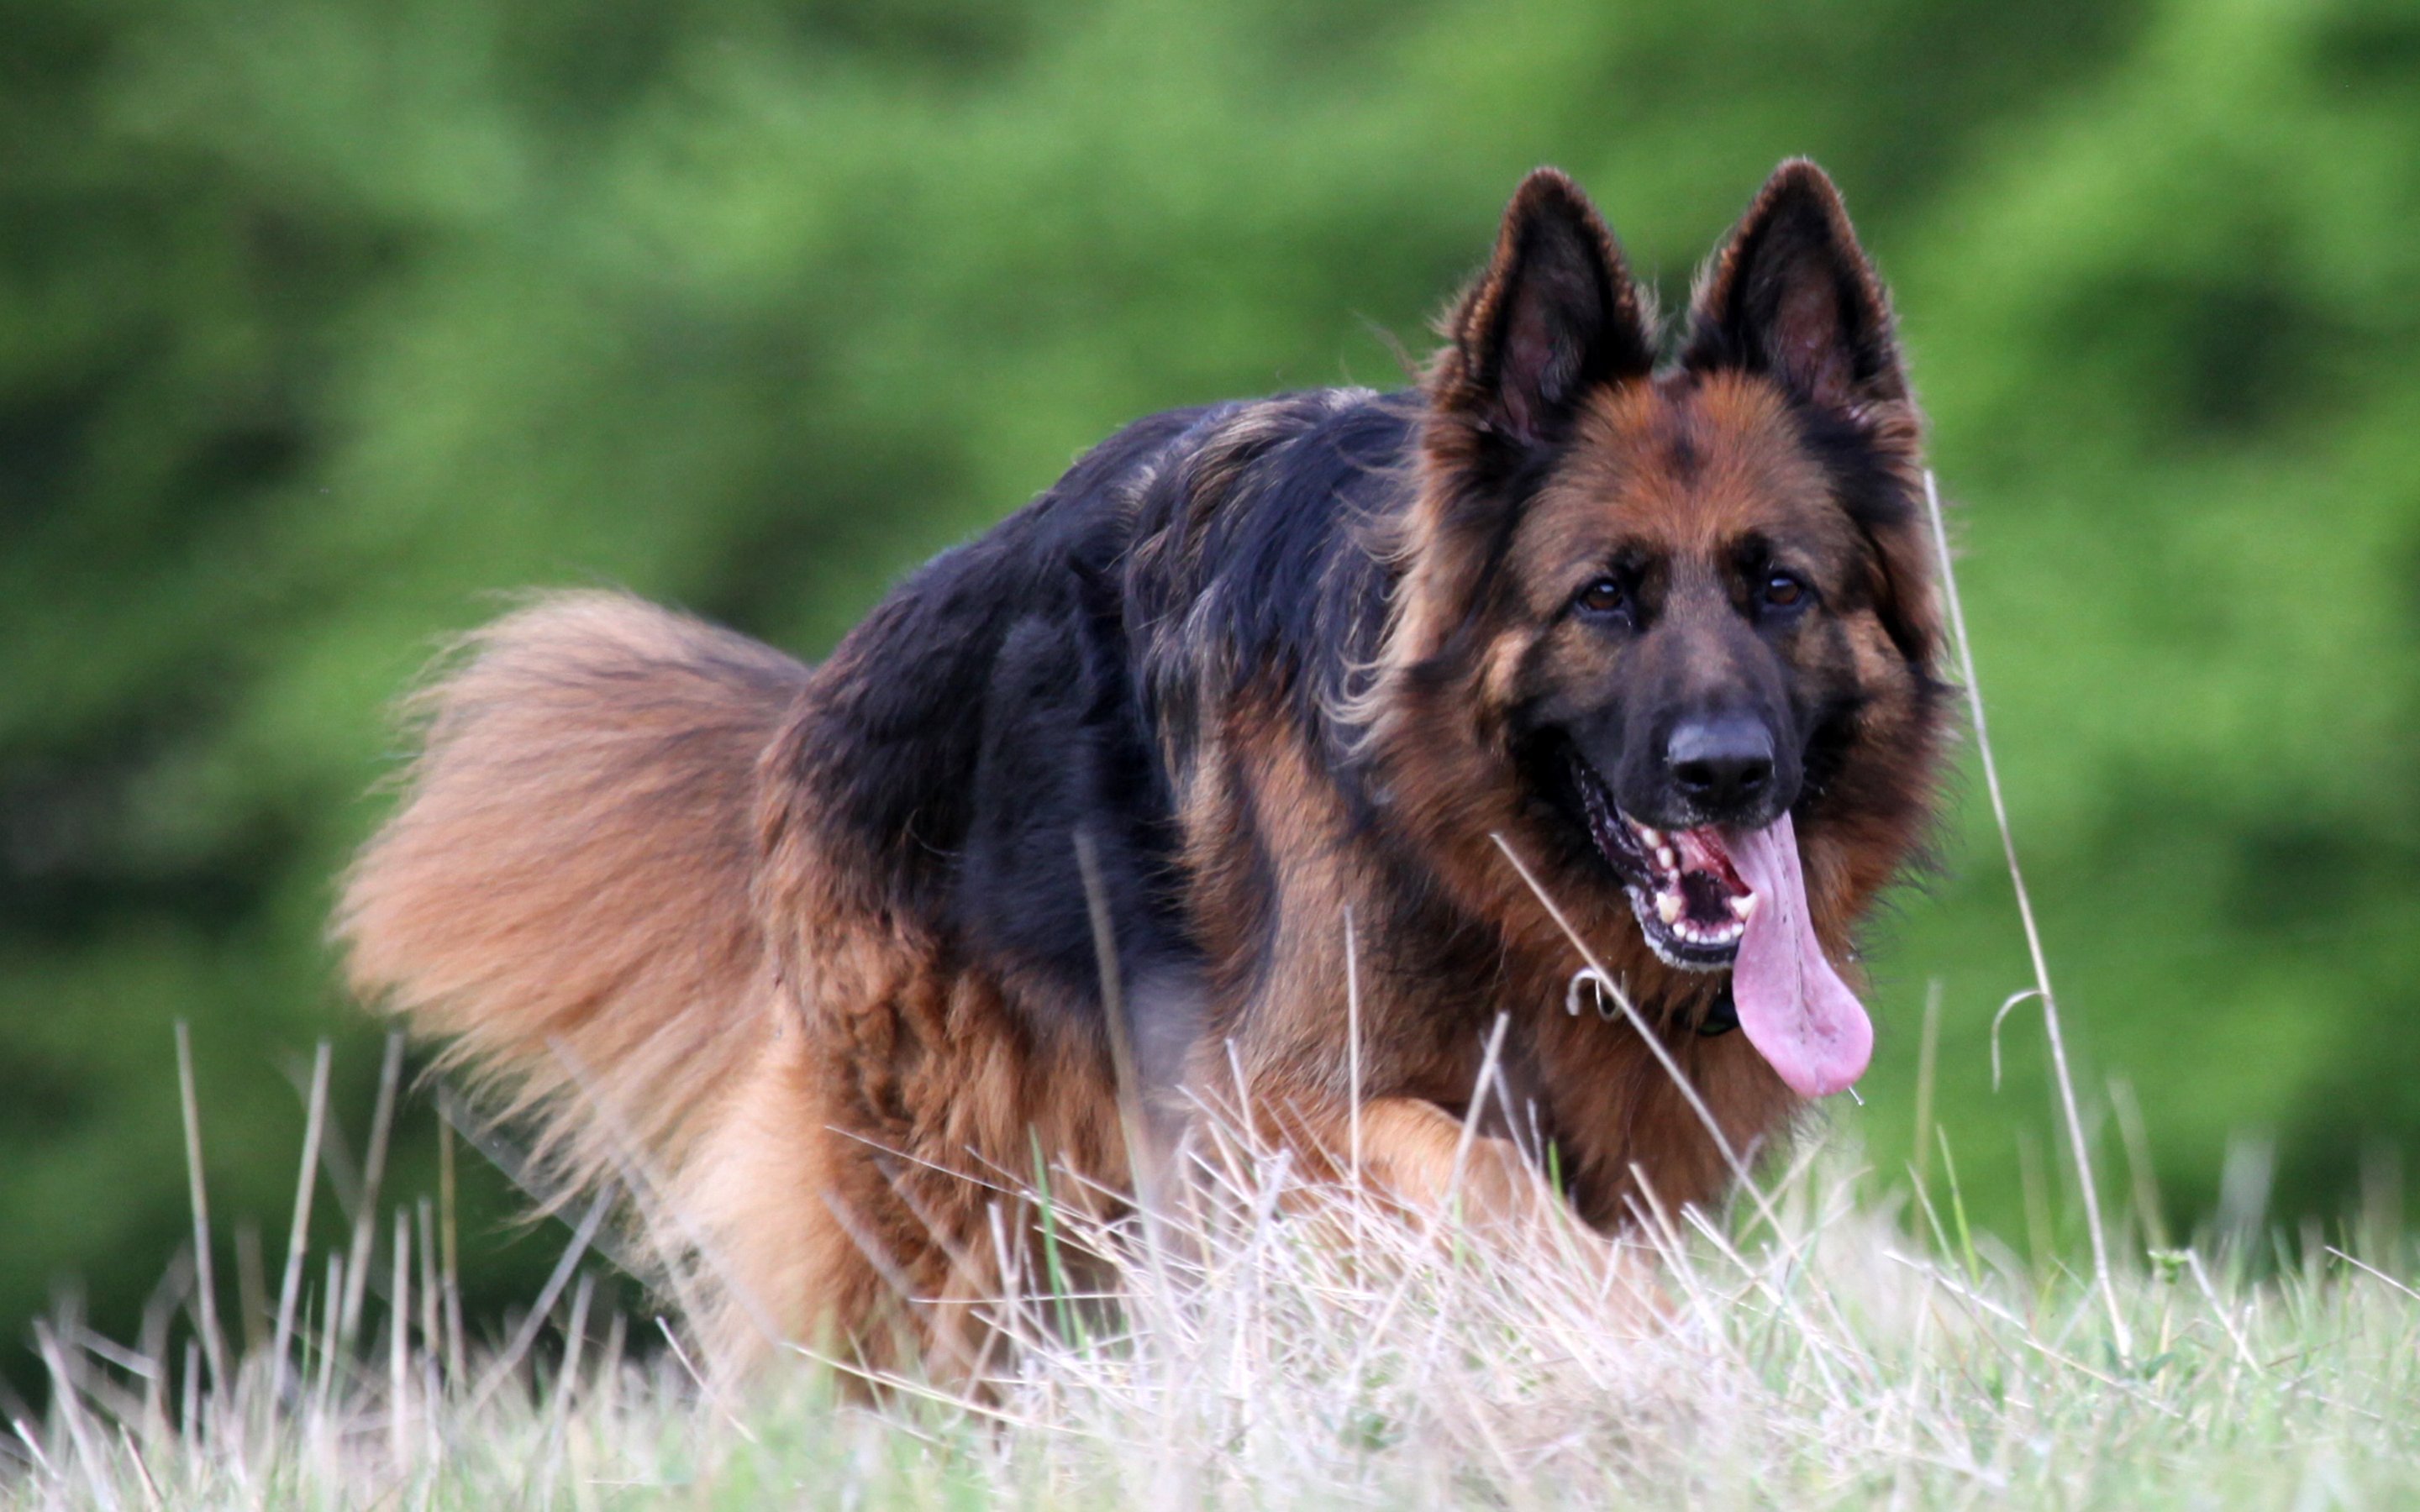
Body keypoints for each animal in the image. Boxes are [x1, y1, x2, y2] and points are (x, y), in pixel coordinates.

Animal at [336, 161, 1945, 1364]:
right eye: (1605, 597)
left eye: (1780, 588)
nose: (1727, 774)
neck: (1464, 850)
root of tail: (824, 691)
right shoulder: (1272, 1106)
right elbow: (1481, 1176)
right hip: (959, 1203)